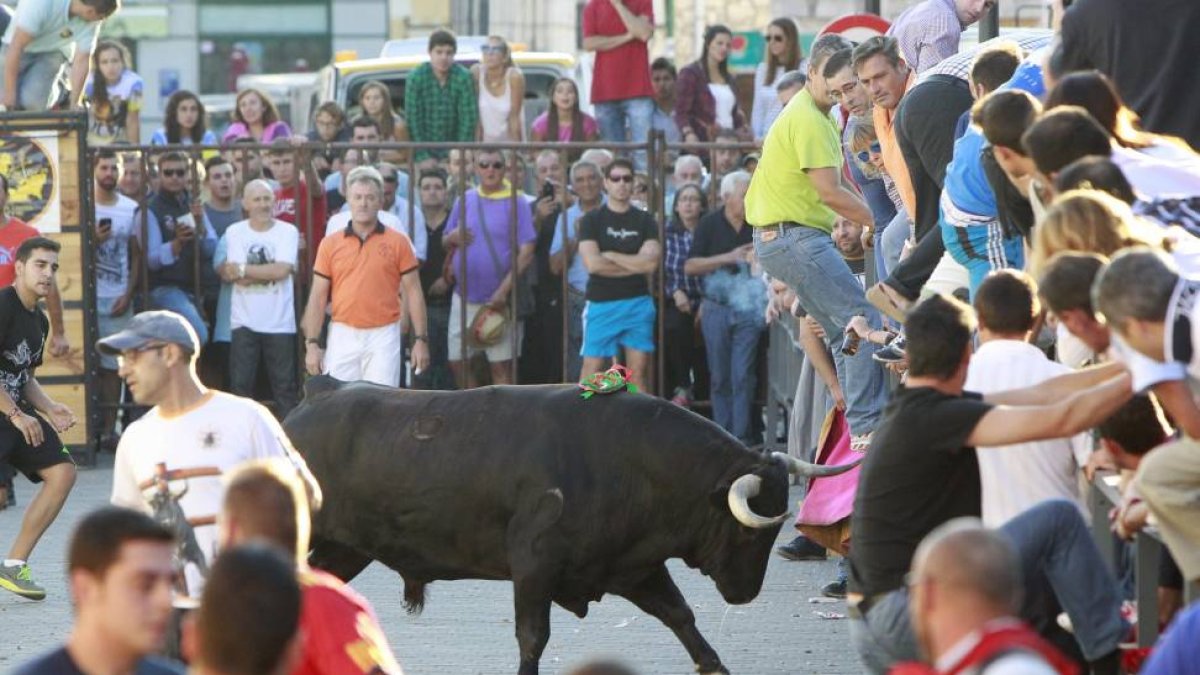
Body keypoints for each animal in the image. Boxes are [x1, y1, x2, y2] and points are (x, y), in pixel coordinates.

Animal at [285, 374, 859, 667]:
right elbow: (532, 638)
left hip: (346, 548)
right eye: (745, 527)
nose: (744, 594)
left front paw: (713, 663)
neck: (631, 460)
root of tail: (311, 399)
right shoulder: (534, 566)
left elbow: (682, 617)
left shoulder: (635, 566)